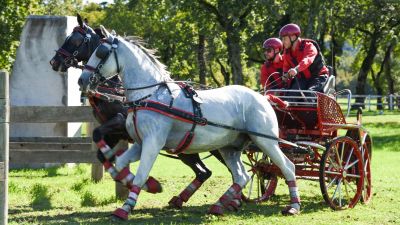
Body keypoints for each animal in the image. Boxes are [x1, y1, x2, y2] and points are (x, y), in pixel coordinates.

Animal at [78, 25, 300, 220]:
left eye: (101, 52)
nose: (82, 80)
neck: (149, 95)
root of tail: (263, 97)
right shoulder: (140, 143)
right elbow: (121, 165)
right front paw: (152, 185)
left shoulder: (152, 143)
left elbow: (139, 174)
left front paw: (125, 209)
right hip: (229, 147)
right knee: (241, 176)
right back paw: (219, 205)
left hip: (265, 141)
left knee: (287, 167)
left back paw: (293, 206)